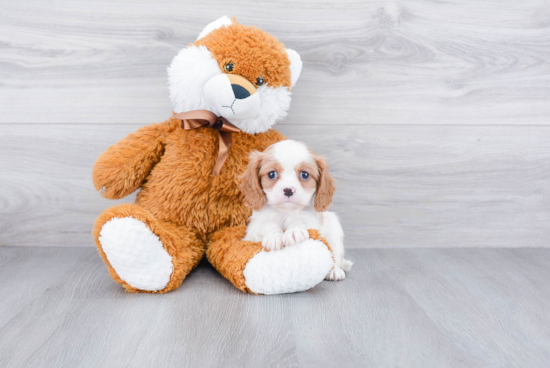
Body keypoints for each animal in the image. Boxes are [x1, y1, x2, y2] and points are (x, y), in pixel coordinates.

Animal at [240, 139, 354, 280]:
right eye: (272, 174)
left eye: (304, 175)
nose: (288, 190)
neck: (286, 212)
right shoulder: (255, 227)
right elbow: (268, 224)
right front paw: (274, 236)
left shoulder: (312, 222)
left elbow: (299, 221)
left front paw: (294, 231)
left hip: (334, 228)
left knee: (335, 254)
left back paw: (334, 270)